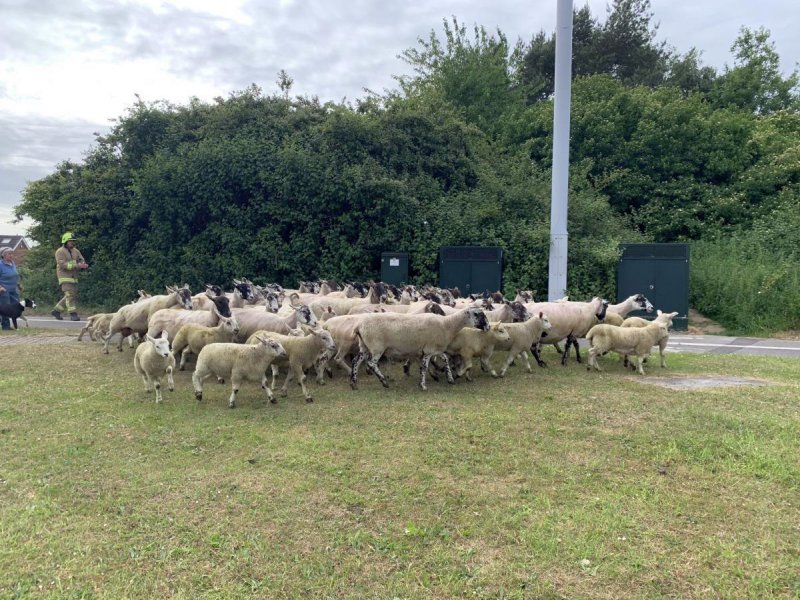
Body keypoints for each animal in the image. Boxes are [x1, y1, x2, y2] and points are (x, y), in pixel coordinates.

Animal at [354, 308, 490, 392]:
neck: (447, 325)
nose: (488, 327)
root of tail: (359, 326)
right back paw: (384, 382)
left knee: (356, 361)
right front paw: (423, 385)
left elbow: (445, 360)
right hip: (376, 346)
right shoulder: (429, 350)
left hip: (364, 346)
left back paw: (353, 383)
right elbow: (424, 367)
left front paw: (449, 378)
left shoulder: (435, 349)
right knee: (371, 363)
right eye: (479, 315)